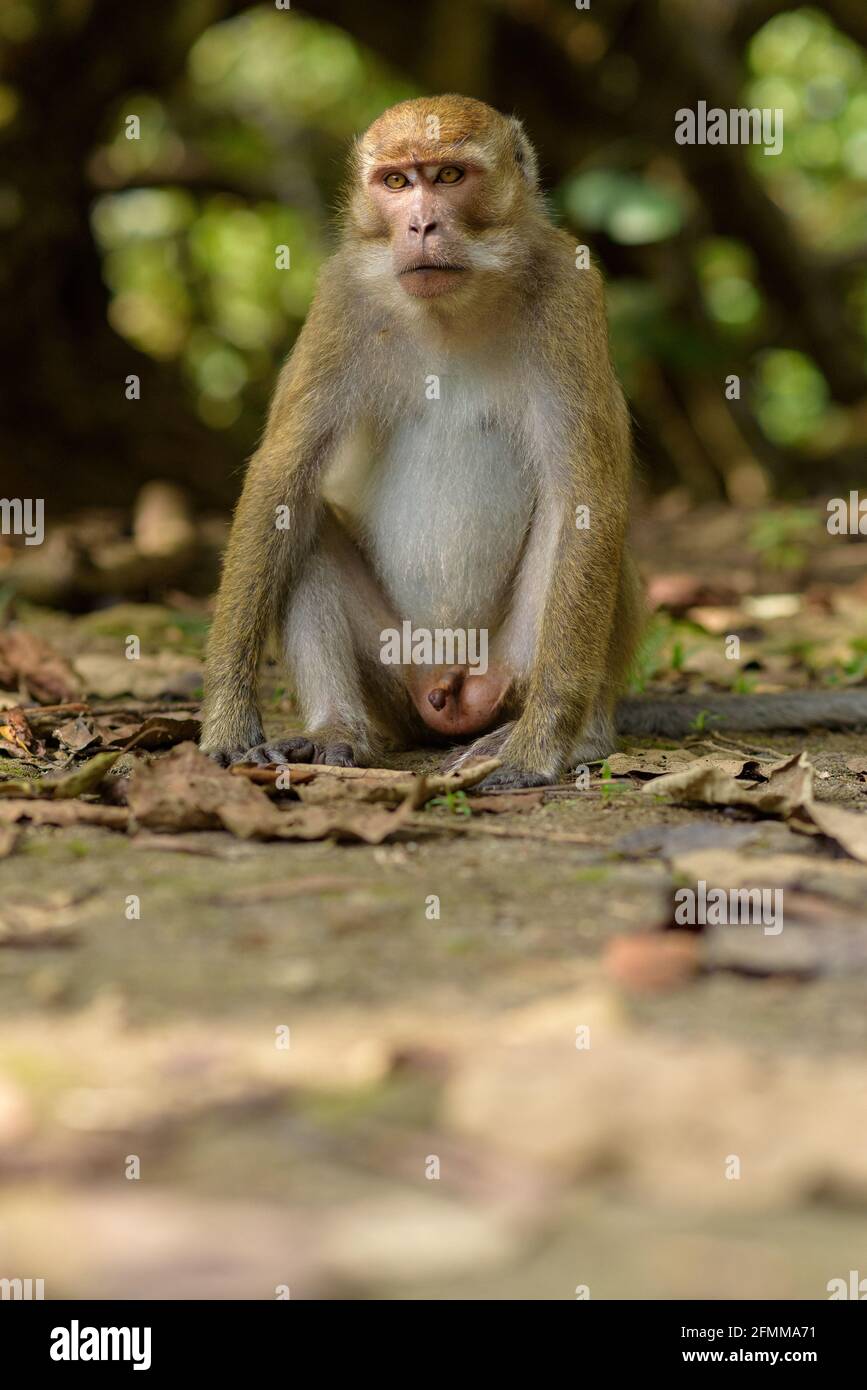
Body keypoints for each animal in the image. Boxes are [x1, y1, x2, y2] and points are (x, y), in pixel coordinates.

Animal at [201, 95, 867, 787]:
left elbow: (586, 498)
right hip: (399, 675)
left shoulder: (572, 292)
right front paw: (228, 723)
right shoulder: (340, 299)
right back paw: (340, 731)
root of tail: (451, 688)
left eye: (448, 177)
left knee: (576, 525)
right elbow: (282, 480)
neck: (452, 308)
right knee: (304, 528)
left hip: (510, 667)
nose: (420, 227)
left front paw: (540, 747)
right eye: (396, 182)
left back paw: (574, 735)